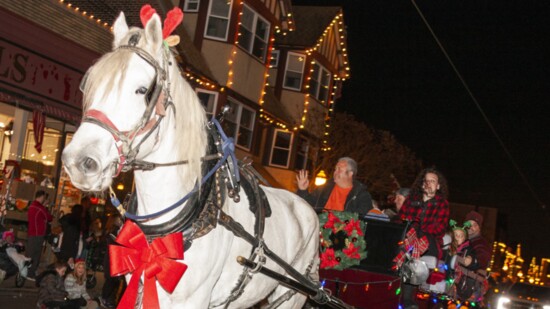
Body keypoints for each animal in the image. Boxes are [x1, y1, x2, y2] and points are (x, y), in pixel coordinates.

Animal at [61, 8, 320, 306]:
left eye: (142, 89)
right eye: (88, 84)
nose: (79, 161)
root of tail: (308, 209)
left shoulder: (194, 299)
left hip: (292, 294)